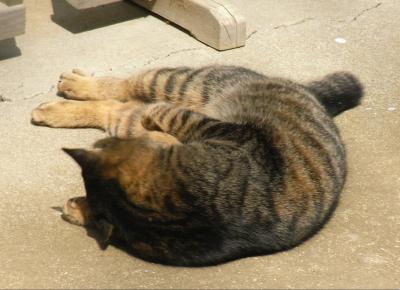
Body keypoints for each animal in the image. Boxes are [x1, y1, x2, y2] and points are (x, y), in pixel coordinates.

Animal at [30, 66, 362, 268]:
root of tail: (311, 94)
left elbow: (161, 117)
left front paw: (77, 208)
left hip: (181, 85)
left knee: (121, 105)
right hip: (183, 82)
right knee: (124, 91)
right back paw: (75, 87)